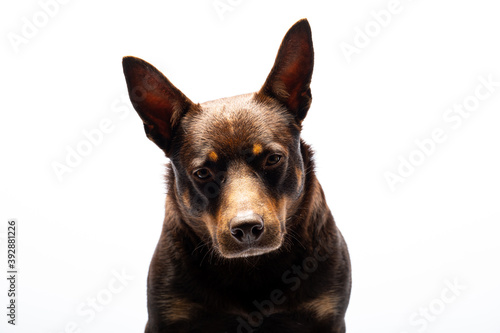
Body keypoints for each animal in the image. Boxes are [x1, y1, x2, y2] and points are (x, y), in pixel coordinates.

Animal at [122, 18, 350, 332]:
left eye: (273, 159)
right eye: (202, 173)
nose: (247, 228)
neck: (251, 270)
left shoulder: (326, 316)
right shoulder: (166, 319)